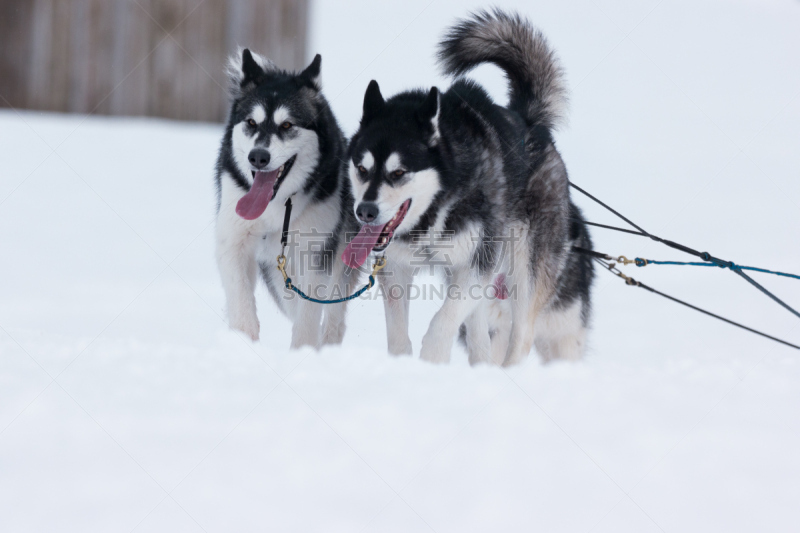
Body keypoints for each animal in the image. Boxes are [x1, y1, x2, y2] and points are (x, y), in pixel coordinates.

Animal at [217, 50, 358, 348]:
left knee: (333, 313)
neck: (276, 206)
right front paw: (242, 342)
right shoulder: (234, 241)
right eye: (251, 123)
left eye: (287, 125)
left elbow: (309, 315)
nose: (258, 157)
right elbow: (240, 300)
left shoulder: (316, 252)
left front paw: (304, 351)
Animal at [340, 10, 592, 364]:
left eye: (398, 172)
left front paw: (432, 358)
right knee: (479, 333)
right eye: (362, 169)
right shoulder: (398, 268)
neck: (437, 211)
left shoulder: (476, 264)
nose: (365, 211)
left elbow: (441, 323)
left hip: (523, 268)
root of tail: (529, 123)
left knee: (521, 334)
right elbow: (399, 337)